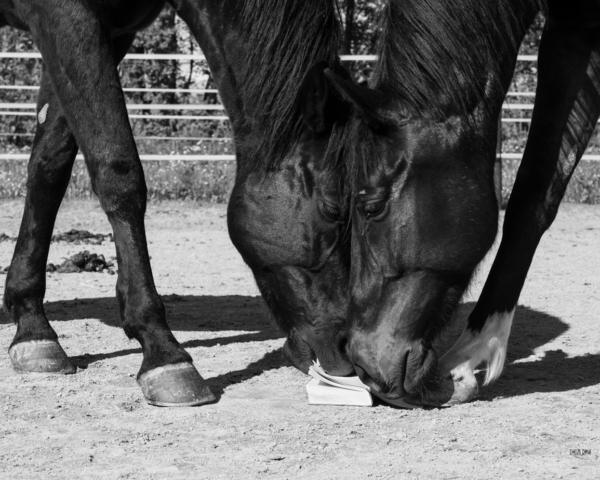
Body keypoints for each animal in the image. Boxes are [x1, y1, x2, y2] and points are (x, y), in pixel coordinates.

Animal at [0, 0, 352, 406]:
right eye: (333, 209)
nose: (347, 350)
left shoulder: (111, 32)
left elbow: (50, 166)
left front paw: (32, 328)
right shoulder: (66, 17)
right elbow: (119, 171)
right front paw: (162, 349)